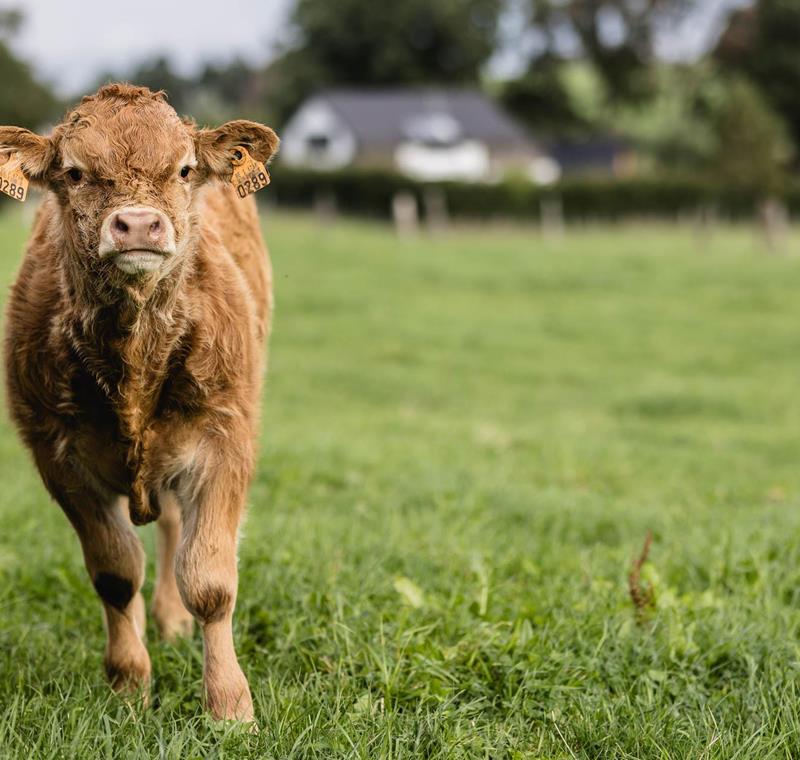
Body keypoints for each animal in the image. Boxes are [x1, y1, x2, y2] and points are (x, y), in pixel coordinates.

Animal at [2, 86, 278, 720]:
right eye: (75, 172)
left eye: (183, 170)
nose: (138, 224)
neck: (133, 359)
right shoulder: (58, 455)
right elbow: (115, 573)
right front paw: (129, 686)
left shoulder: (226, 439)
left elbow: (210, 581)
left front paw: (230, 707)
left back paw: (174, 621)